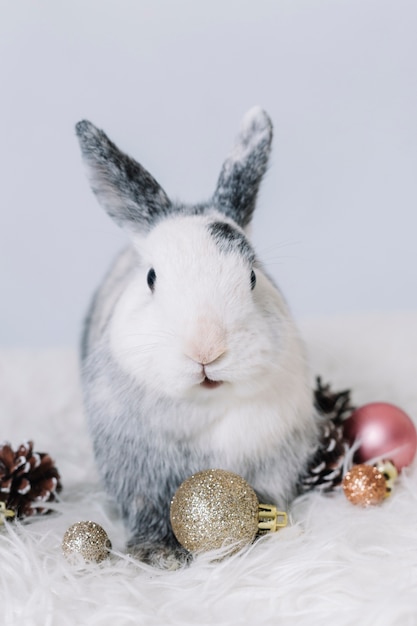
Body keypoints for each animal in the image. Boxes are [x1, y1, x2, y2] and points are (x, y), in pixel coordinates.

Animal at [75, 107, 318, 564]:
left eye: (253, 276)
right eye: (151, 278)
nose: (206, 350)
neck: (205, 403)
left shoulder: (273, 460)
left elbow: (263, 496)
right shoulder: (138, 475)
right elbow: (148, 509)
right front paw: (157, 553)